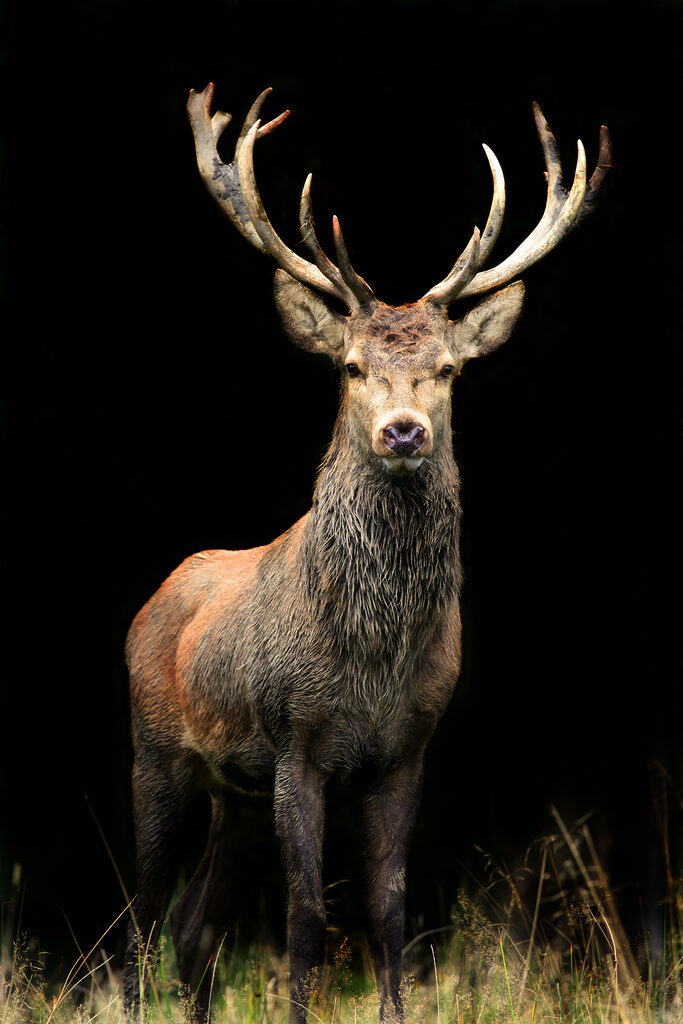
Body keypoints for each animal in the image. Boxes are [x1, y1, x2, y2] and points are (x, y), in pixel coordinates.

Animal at [123, 83, 611, 1023]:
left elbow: (389, 909)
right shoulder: (294, 739)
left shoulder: (407, 749)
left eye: (449, 370)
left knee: (193, 927)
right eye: (350, 366)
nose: (403, 431)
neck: (370, 661)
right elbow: (307, 915)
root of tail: (151, 602)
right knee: (140, 911)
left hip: (235, 793)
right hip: (156, 749)